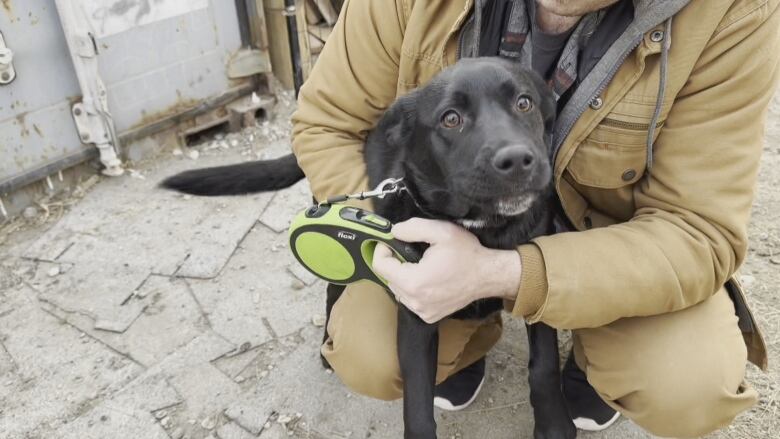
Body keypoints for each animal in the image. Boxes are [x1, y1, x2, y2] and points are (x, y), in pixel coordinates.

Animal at [161, 58, 576, 439]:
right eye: (451, 119)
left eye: (524, 103)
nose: (517, 160)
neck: (482, 227)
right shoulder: (417, 312)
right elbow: (418, 403)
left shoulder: (536, 282)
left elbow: (544, 366)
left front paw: (554, 426)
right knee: (333, 291)